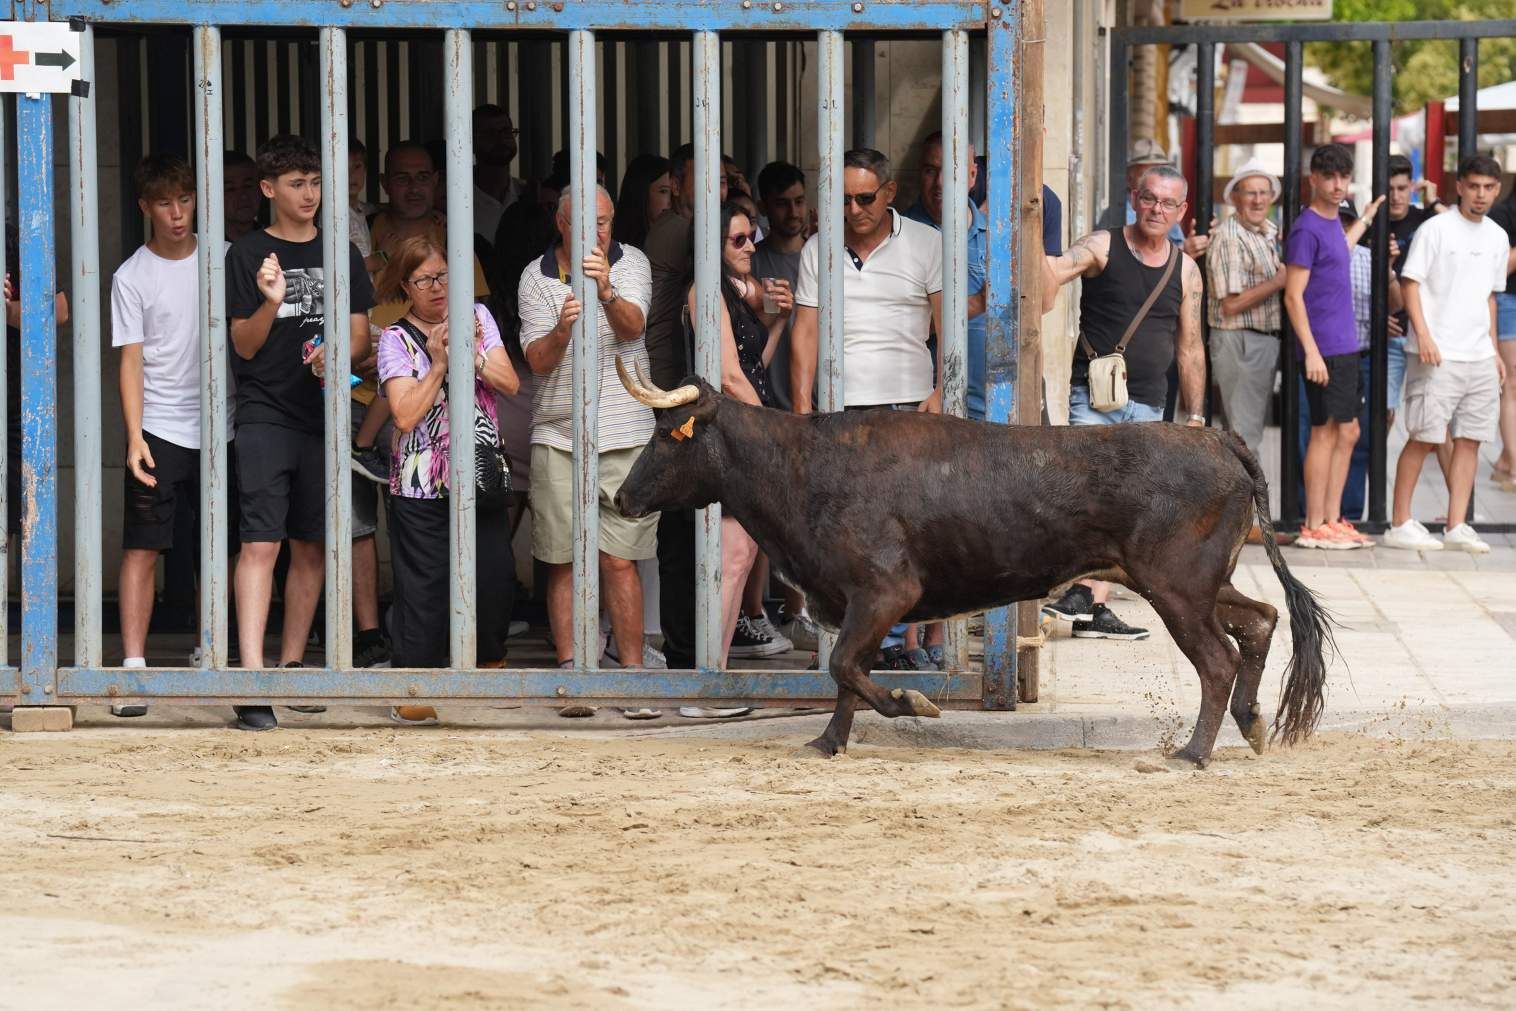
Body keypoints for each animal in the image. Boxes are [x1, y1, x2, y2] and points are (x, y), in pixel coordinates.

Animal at [609, 363, 1334, 766]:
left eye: (665, 437)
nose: (619, 497)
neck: (802, 465)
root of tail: (1217, 439)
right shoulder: (852, 600)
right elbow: (845, 674)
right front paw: (827, 742)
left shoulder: (885, 591)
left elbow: (846, 666)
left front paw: (912, 703)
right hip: (1196, 581)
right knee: (1261, 619)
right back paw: (1251, 723)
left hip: (1177, 586)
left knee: (1218, 657)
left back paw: (1193, 752)